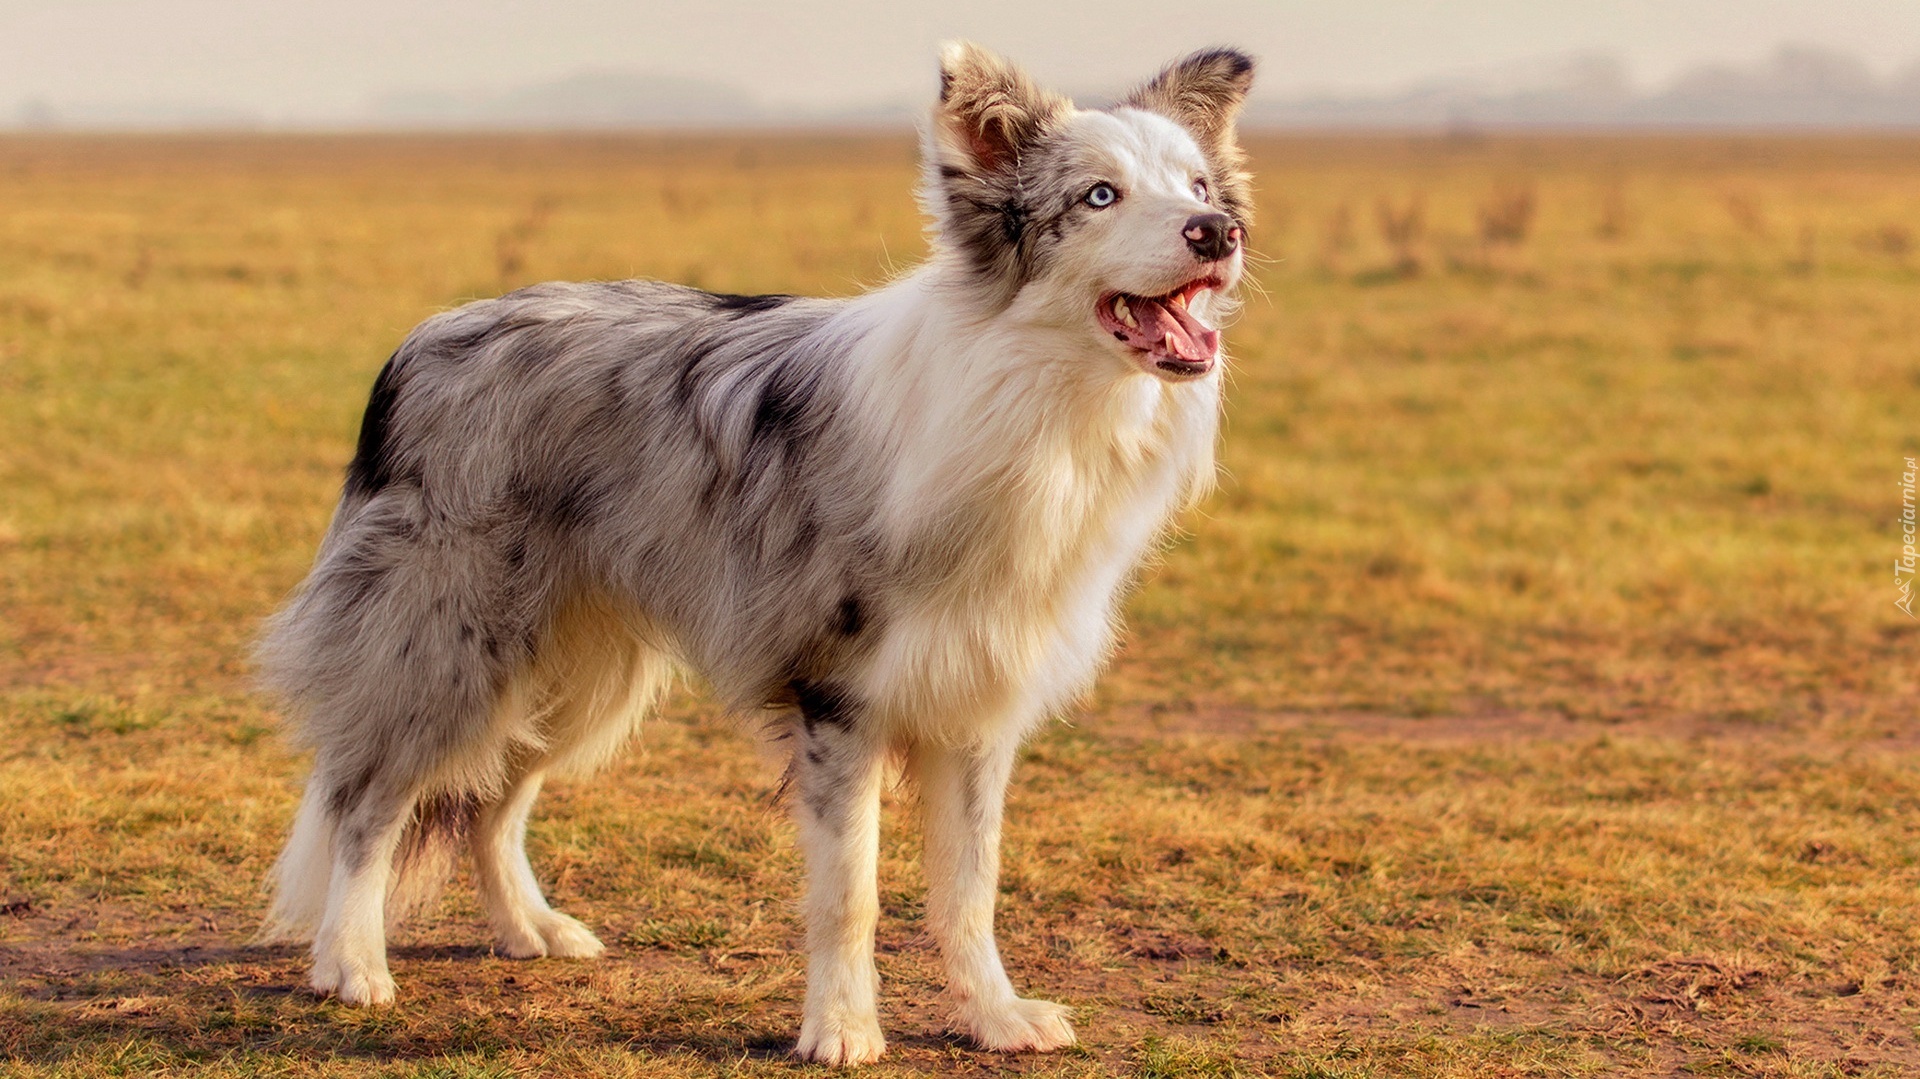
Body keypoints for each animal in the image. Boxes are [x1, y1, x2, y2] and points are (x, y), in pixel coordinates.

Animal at [259, 41, 1244, 1059]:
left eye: (1199, 185)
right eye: (1100, 195)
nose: (1220, 233)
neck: (1030, 401)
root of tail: (419, 344)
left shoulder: (975, 703)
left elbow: (971, 887)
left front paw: (995, 1015)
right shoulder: (840, 699)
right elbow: (850, 893)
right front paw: (842, 1028)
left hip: (578, 674)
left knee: (493, 799)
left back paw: (529, 928)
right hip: (447, 651)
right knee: (367, 799)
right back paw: (350, 963)